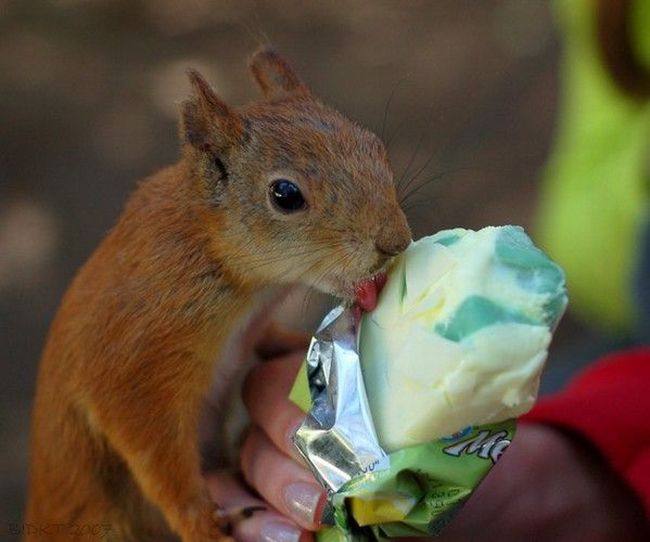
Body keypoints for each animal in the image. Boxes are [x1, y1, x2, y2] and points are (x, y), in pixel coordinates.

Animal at [26, 49, 410, 540]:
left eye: (374, 144)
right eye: (285, 195)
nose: (396, 241)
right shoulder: (136, 365)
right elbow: (156, 457)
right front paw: (202, 525)